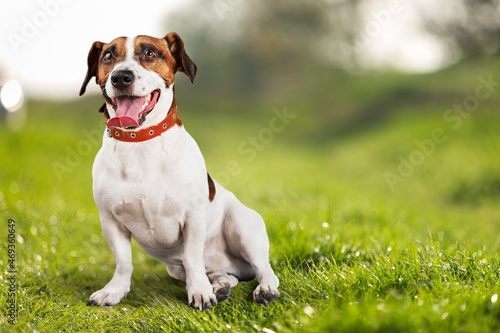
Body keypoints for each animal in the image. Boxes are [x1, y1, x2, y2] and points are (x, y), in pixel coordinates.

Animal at [80, 32, 280, 308]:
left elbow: (192, 257)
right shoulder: (110, 221)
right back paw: (220, 286)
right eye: (108, 56)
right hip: (186, 267)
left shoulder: (193, 218)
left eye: (150, 53)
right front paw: (115, 291)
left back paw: (265, 289)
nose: (121, 77)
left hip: (243, 227)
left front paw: (200, 292)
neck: (140, 142)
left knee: (264, 269)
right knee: (225, 275)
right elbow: (123, 262)